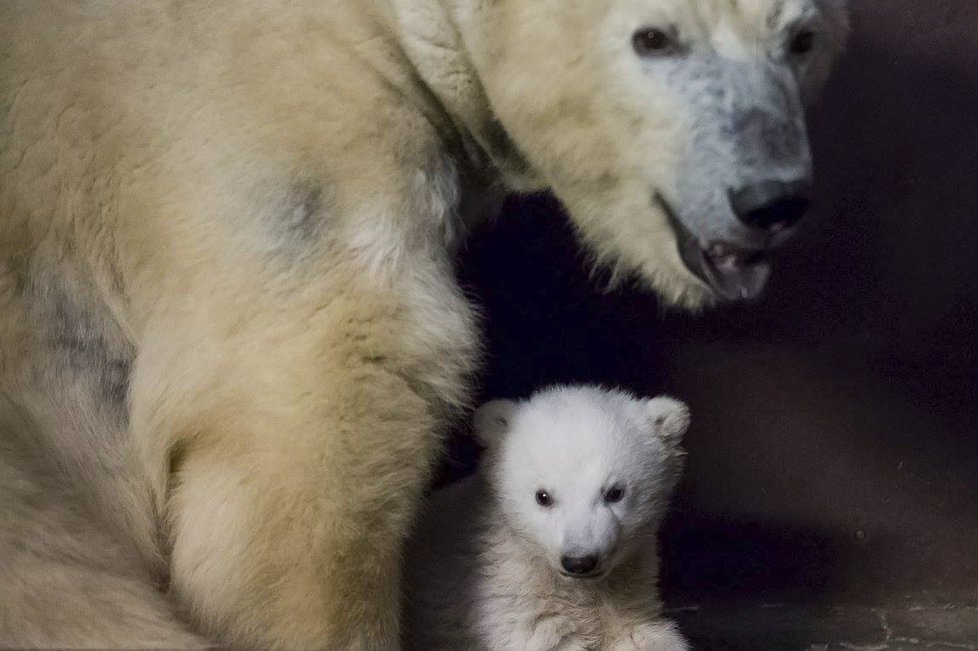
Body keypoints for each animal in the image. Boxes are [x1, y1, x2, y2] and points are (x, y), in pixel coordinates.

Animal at [402, 388, 688, 651]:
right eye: (543, 496)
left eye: (615, 492)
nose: (579, 561)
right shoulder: (506, 598)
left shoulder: (630, 592)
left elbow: (642, 635)